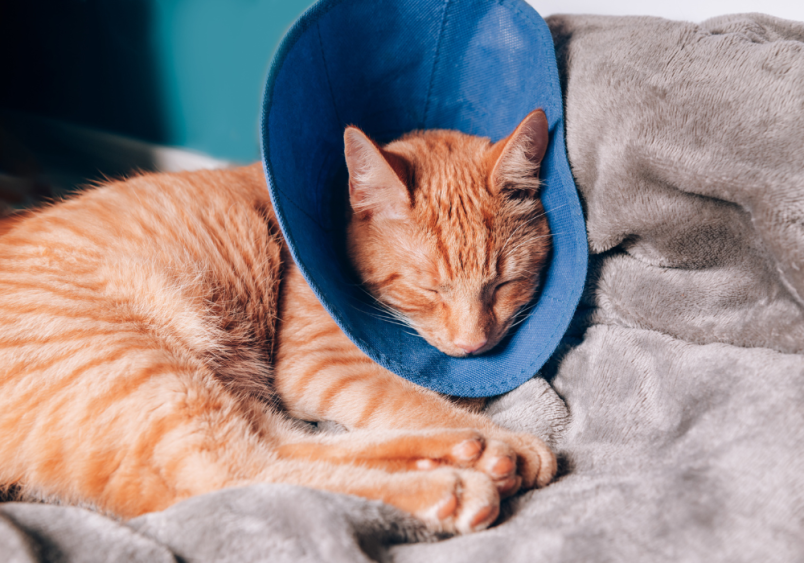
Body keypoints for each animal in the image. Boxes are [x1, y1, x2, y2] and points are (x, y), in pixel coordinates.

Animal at [0, 108, 556, 536]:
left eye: (503, 284)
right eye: (428, 289)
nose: (474, 345)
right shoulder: (320, 365)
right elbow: (412, 399)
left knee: (288, 446)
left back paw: (475, 450)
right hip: (144, 368)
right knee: (239, 475)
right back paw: (466, 472)